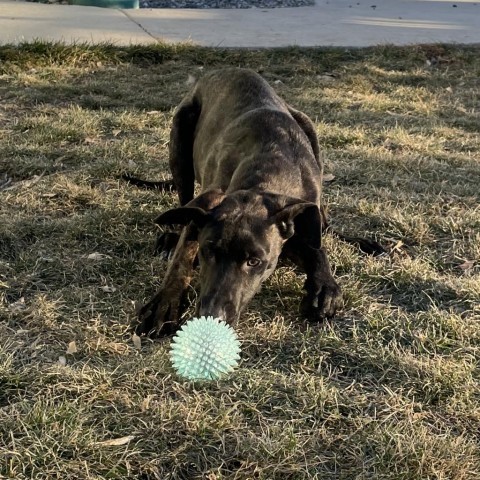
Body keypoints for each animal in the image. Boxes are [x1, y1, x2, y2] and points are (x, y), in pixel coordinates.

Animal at [133, 68, 384, 338]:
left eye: (254, 262)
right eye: (208, 251)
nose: (213, 316)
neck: (269, 171)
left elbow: (316, 248)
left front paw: (324, 287)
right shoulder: (209, 201)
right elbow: (183, 254)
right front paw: (165, 303)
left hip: (311, 132)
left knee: (325, 225)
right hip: (180, 137)